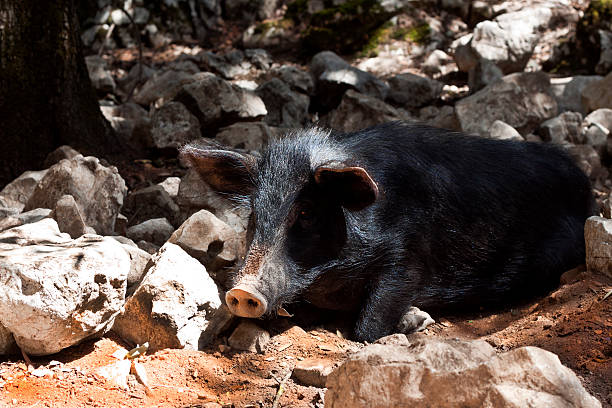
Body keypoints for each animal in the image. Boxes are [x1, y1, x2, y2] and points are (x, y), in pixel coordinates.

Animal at [180, 121, 592, 342]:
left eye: (307, 212)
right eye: (254, 214)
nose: (241, 292)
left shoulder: (406, 258)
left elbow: (368, 324)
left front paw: (416, 321)